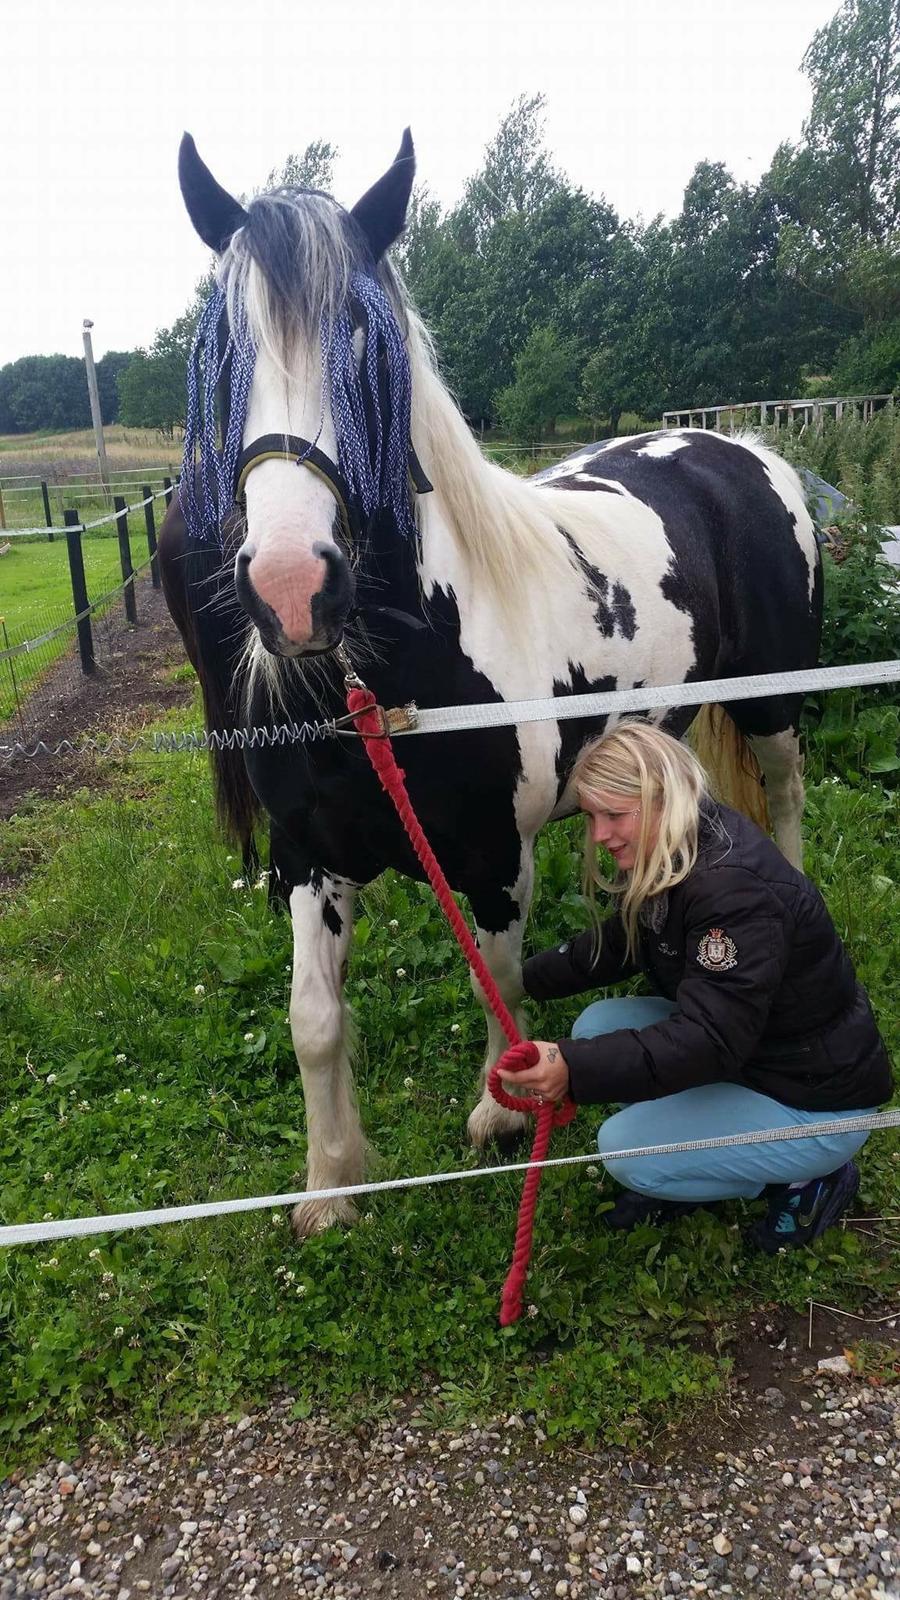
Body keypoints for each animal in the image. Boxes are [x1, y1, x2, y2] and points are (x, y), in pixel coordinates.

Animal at [160, 134, 819, 1235]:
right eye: (219, 350)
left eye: (371, 345)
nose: (293, 586)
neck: (383, 691)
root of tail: (742, 447)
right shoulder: (308, 861)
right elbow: (313, 1018)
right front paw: (331, 1184)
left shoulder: (493, 859)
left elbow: (497, 985)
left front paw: (500, 1118)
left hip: (773, 698)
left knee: (786, 796)